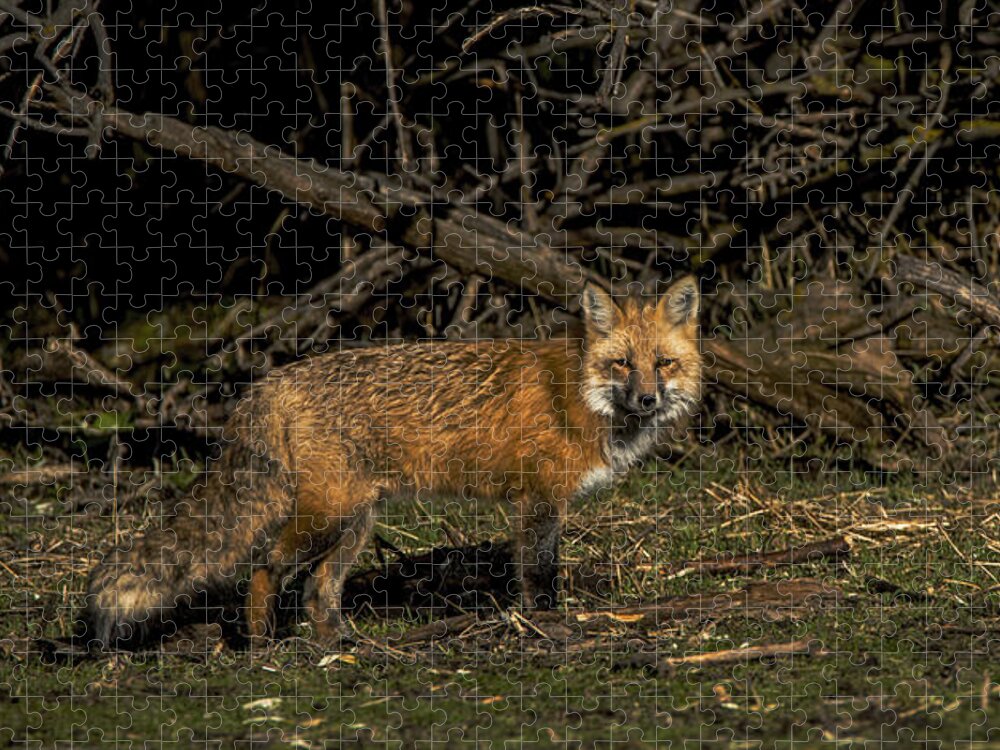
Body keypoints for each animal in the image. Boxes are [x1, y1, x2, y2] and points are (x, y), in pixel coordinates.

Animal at [83, 277, 702, 649]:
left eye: (663, 363)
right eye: (622, 364)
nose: (648, 400)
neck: (579, 394)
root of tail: (272, 381)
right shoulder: (539, 500)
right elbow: (539, 574)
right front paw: (547, 624)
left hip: (356, 521)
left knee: (318, 591)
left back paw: (339, 648)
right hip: (328, 515)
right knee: (265, 566)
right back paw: (262, 646)